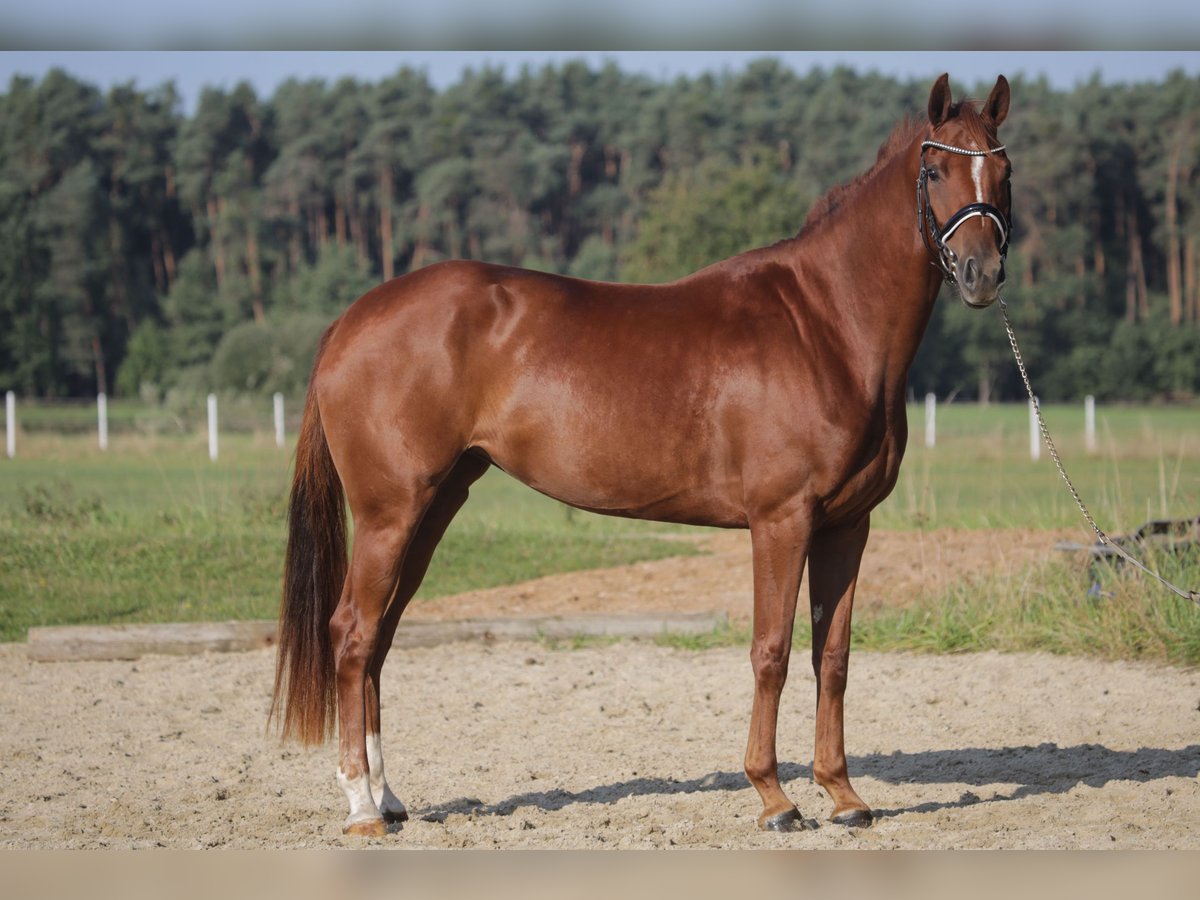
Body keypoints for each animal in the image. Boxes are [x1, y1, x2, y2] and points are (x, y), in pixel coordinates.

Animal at [270, 72, 1012, 840]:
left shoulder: (846, 525)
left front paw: (844, 795)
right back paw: (362, 806)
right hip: (389, 512)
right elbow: (771, 652)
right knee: (352, 635)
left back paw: (389, 797)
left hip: (434, 507)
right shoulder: (781, 521)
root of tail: (351, 320)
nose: (982, 273)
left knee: (381, 638)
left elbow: (830, 657)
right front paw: (774, 797)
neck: (825, 324)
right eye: (935, 170)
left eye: (1004, 172)